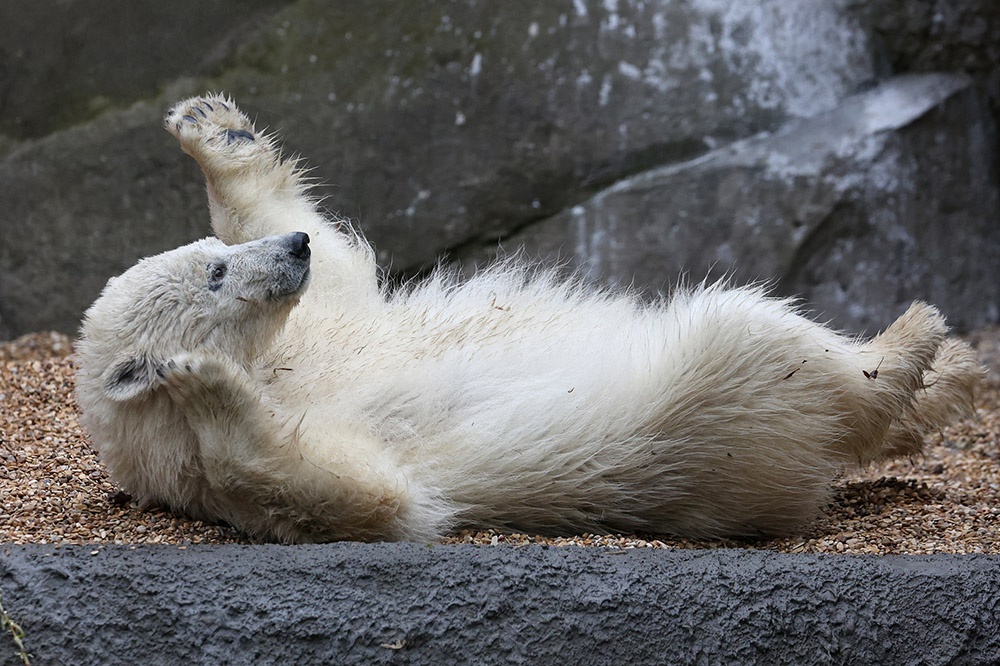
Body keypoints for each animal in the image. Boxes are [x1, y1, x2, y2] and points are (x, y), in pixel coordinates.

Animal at [74, 92, 980, 540]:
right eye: (217, 273)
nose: (286, 251)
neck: (277, 367)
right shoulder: (222, 474)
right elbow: (361, 495)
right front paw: (203, 383)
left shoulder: (319, 323)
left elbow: (336, 272)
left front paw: (211, 127)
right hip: (709, 422)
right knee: (753, 337)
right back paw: (908, 346)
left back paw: (948, 370)